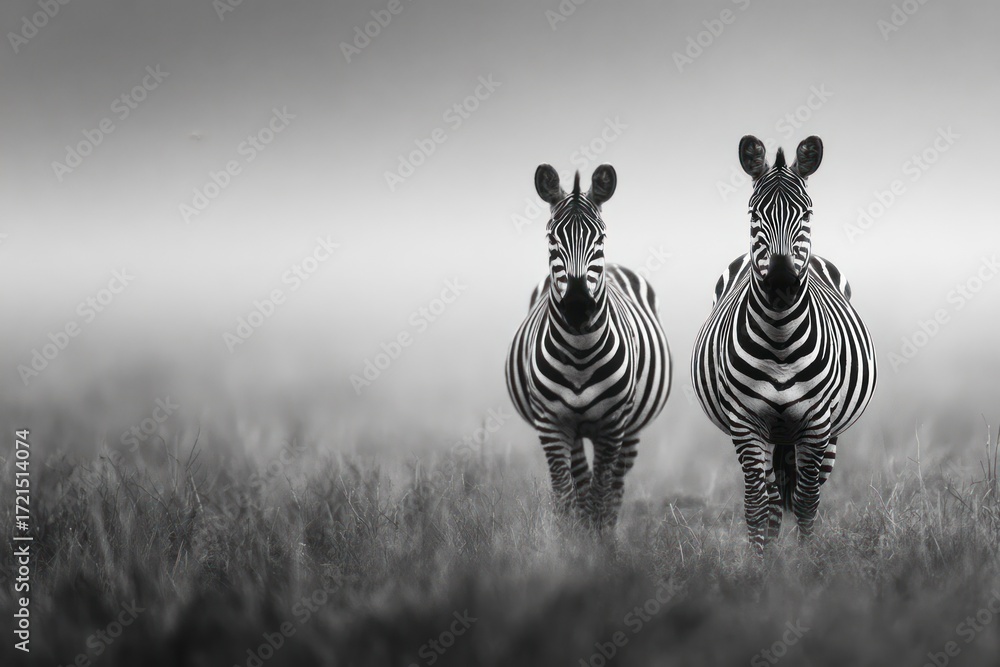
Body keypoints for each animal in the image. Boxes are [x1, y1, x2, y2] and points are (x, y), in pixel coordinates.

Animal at [506, 164, 671, 529]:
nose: (578, 306)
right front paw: (571, 542)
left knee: (614, 488)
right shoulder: (551, 425)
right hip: (575, 430)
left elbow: (600, 497)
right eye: (551, 238)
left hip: (630, 429)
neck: (579, 354)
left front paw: (598, 541)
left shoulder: (613, 426)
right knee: (580, 482)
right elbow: (566, 496)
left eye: (601, 238)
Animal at [691, 136, 877, 552]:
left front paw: (807, 564)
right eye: (753, 215)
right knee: (774, 499)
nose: (781, 280)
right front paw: (760, 565)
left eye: (806, 214)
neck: (779, 341)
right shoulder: (746, 423)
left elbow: (807, 504)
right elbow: (757, 506)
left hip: (827, 435)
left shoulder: (818, 424)